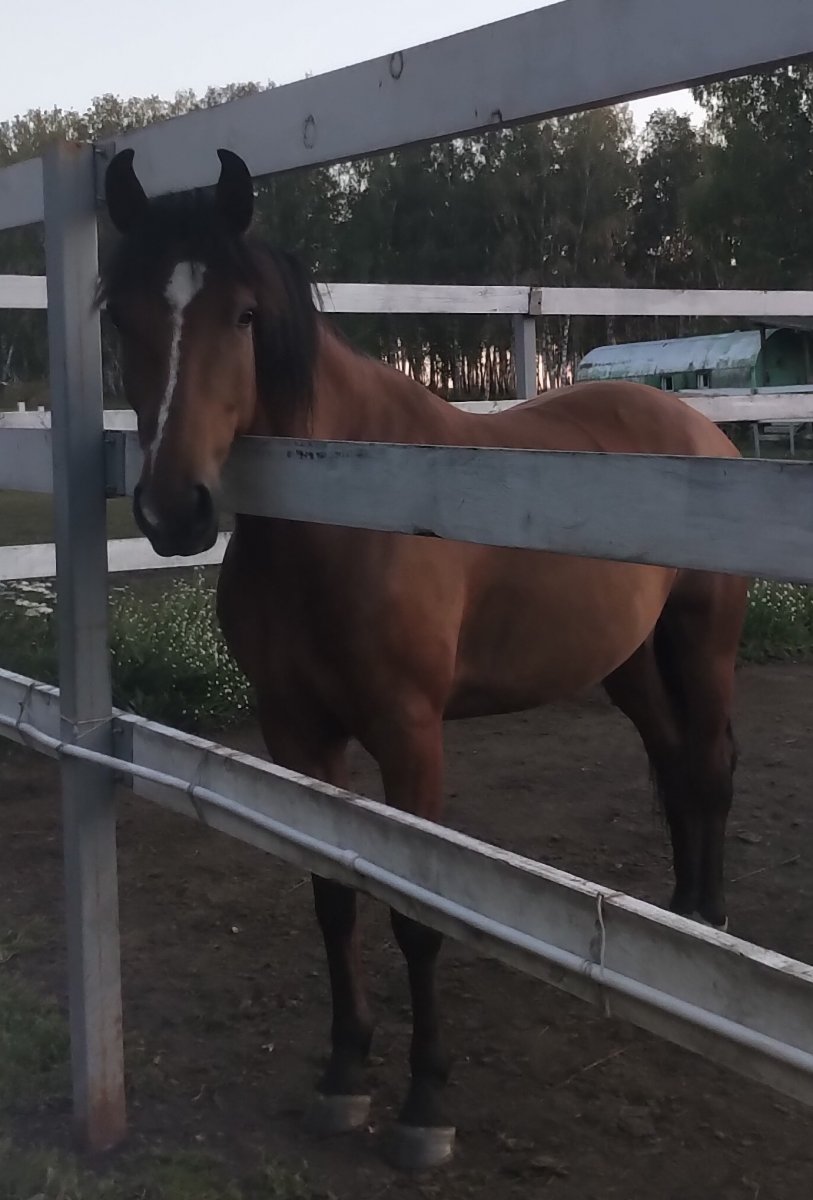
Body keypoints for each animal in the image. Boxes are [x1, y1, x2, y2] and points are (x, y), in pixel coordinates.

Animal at [100, 147, 749, 1169]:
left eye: (241, 315)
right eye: (120, 316)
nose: (174, 511)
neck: (346, 515)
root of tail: (694, 426)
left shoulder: (410, 736)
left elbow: (416, 911)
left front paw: (425, 1103)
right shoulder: (296, 732)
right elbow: (334, 893)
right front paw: (342, 1075)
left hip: (703, 639)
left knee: (711, 768)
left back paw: (709, 931)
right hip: (628, 663)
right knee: (677, 763)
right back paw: (677, 928)